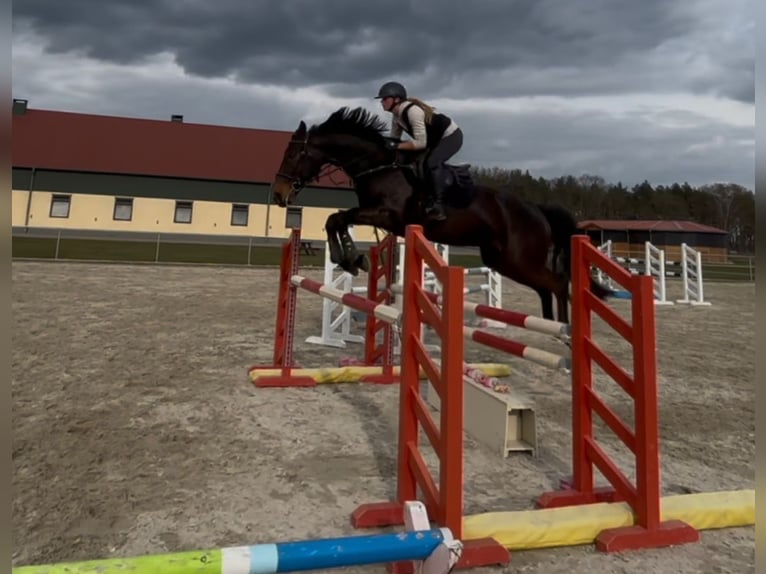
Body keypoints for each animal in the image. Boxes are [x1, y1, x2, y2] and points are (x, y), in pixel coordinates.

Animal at [270, 106, 612, 324]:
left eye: (294, 154)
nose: (278, 194)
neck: (379, 167)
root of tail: (536, 209)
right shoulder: (377, 217)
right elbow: (336, 219)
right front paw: (352, 259)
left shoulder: (386, 216)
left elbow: (338, 218)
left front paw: (352, 258)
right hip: (502, 260)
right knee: (546, 286)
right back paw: (550, 327)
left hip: (518, 258)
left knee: (558, 282)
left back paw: (565, 333)